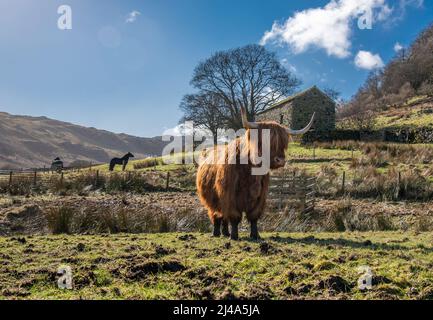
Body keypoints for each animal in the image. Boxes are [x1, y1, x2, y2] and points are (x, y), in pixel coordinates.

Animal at [196, 107, 314, 240]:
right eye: (265, 141)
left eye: (283, 143)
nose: (280, 160)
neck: (250, 173)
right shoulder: (229, 195)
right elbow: (234, 216)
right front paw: (235, 236)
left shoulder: (260, 196)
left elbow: (254, 216)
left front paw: (255, 235)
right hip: (211, 199)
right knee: (216, 215)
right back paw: (216, 233)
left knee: (223, 217)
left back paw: (226, 233)